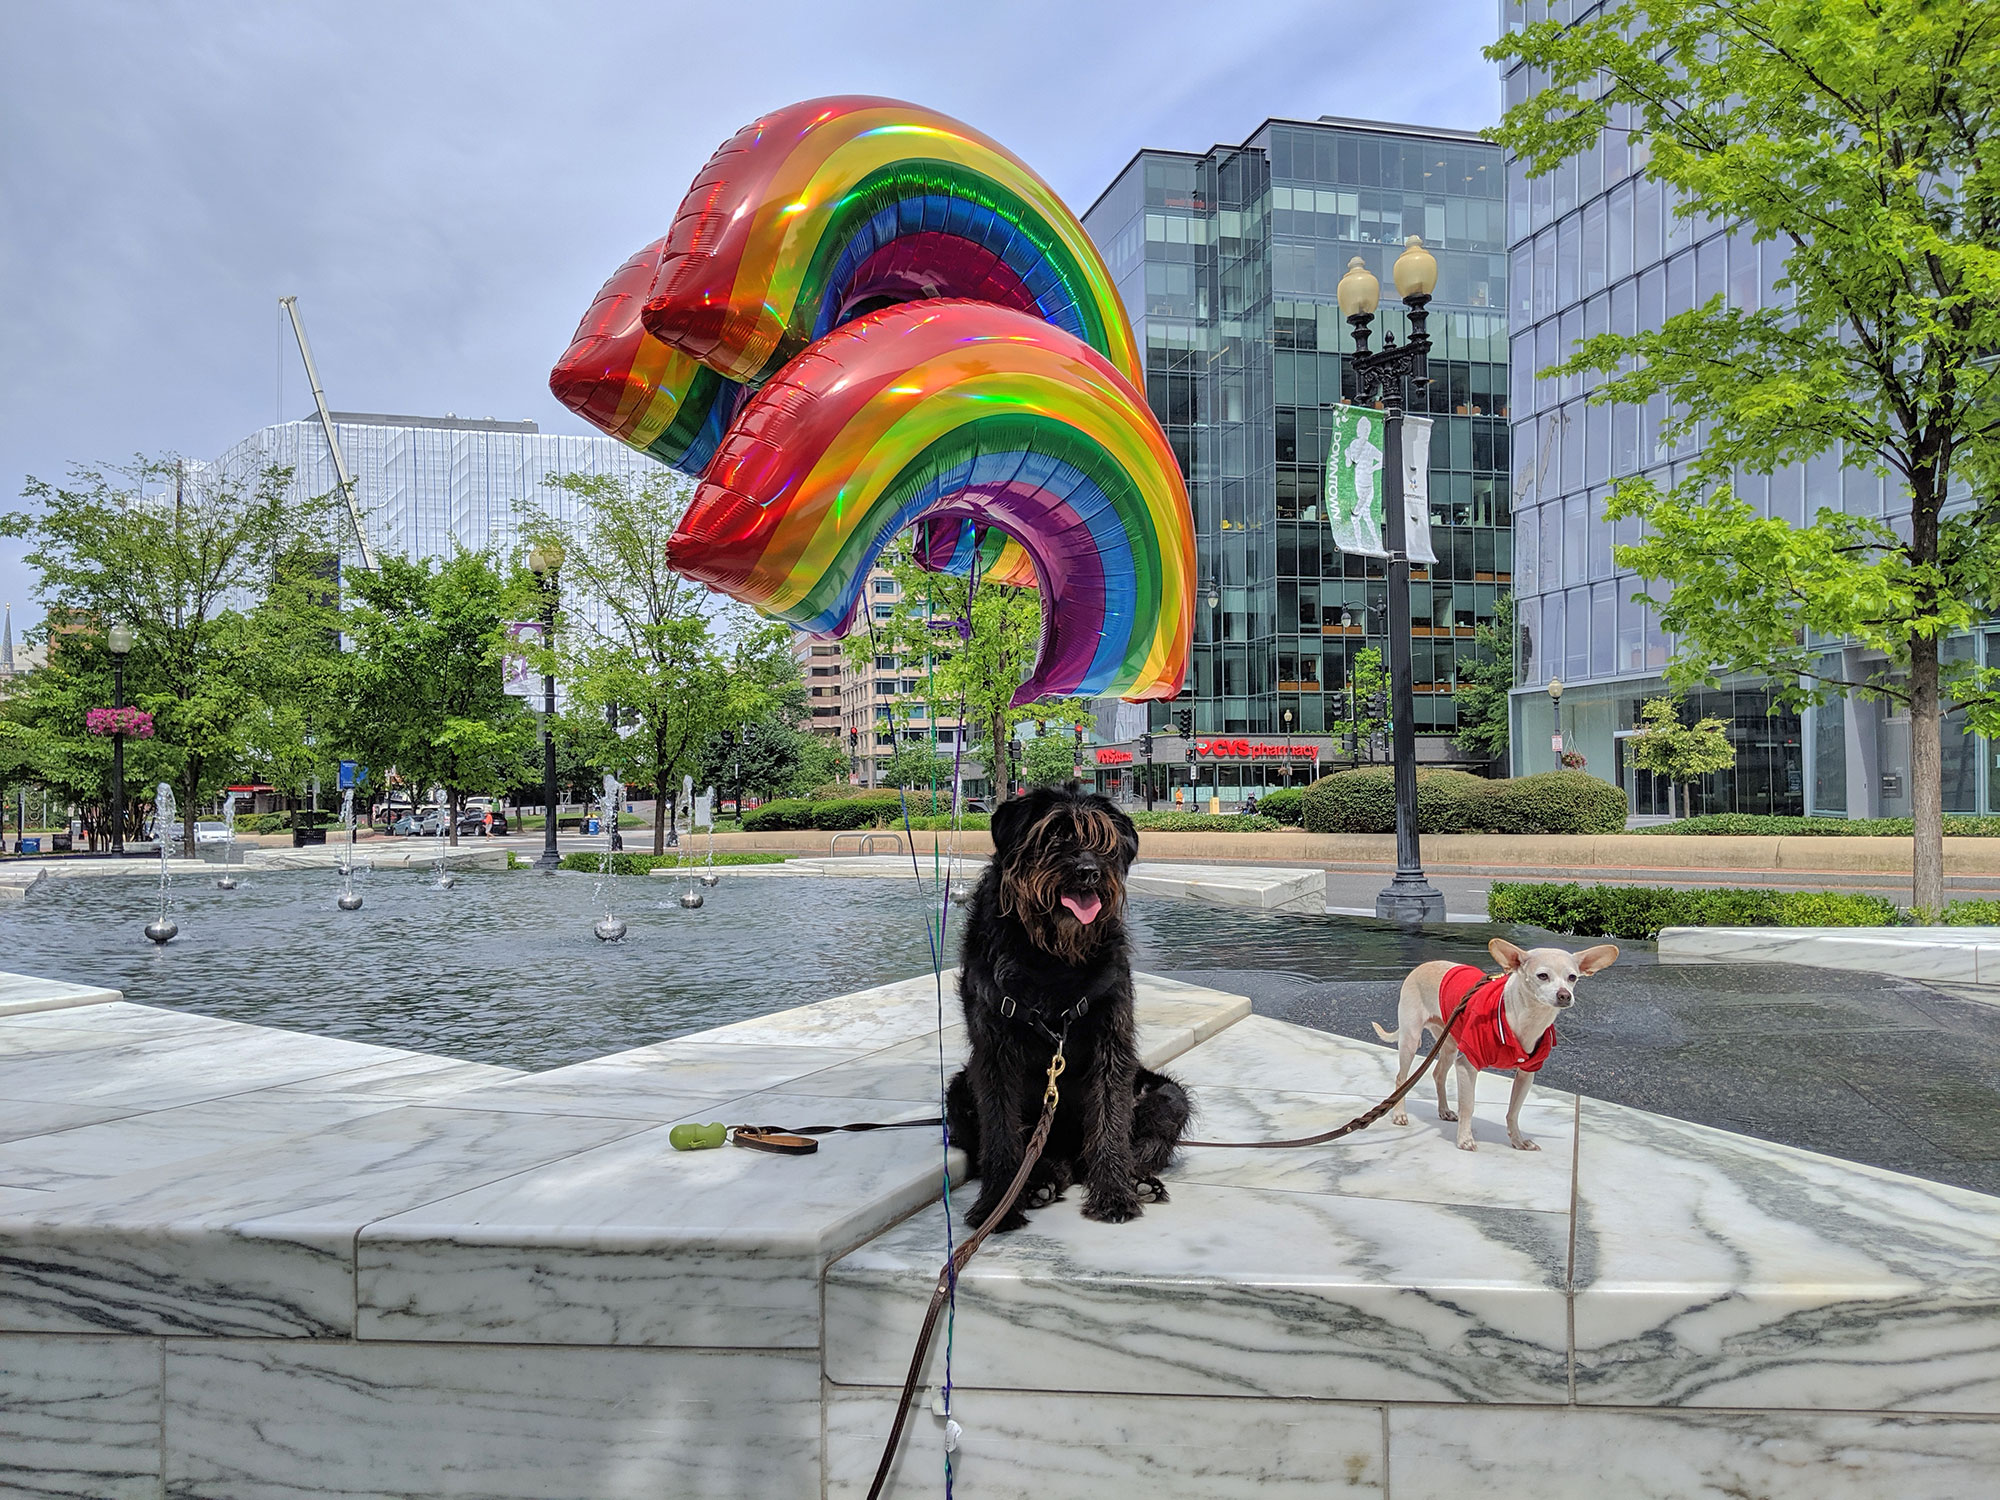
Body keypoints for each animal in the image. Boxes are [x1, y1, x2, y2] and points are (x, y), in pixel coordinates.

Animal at [940, 788, 1176, 1232]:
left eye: (1104, 841)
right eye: (1052, 836)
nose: (1088, 872)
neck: (1052, 957)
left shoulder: (1111, 1039)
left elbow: (1111, 1117)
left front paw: (1115, 1192)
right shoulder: (993, 1053)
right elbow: (1000, 1130)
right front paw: (997, 1204)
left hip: (1167, 1096)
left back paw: (1133, 1179)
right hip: (959, 1092)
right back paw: (1038, 1180)